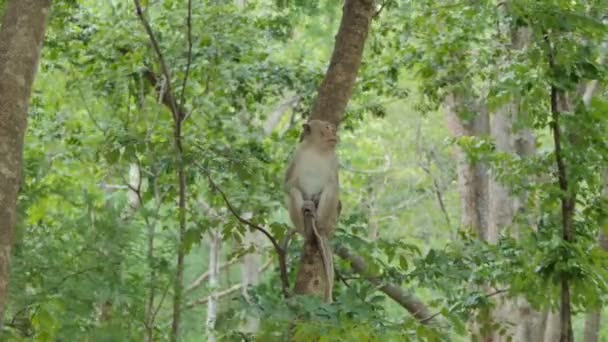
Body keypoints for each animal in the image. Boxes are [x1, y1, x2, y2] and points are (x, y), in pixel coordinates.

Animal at [284, 119, 340, 302]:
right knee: (295, 193)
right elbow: (288, 184)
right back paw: (308, 230)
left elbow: (334, 185)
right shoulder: (297, 154)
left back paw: (318, 221)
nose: (334, 133)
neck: (317, 149)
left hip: (331, 221)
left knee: (331, 188)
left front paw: (315, 199)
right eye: (327, 128)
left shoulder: (334, 160)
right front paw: (307, 199)